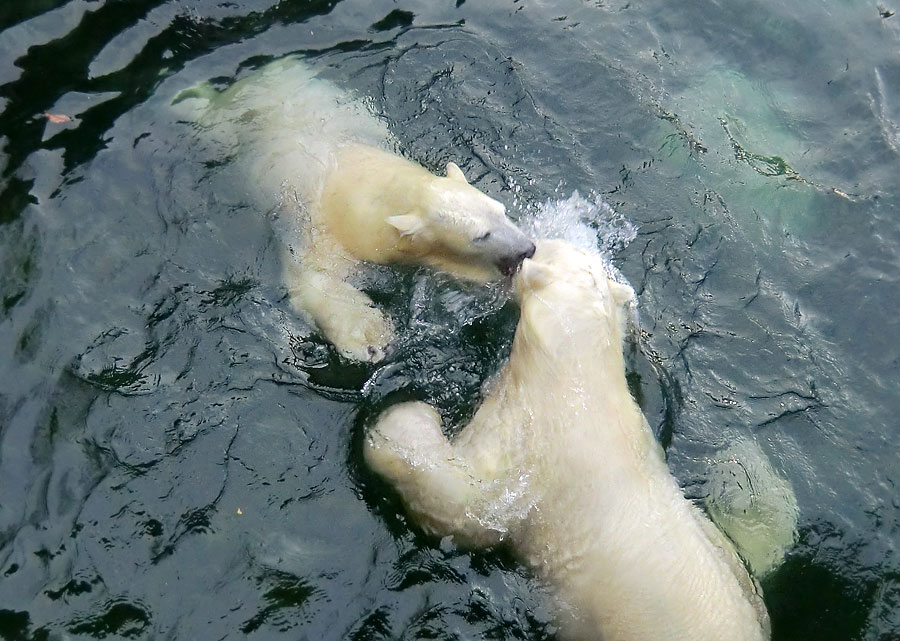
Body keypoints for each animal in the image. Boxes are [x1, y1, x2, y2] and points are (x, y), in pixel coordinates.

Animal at [174, 56, 536, 360]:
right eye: (481, 235)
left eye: (501, 211)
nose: (527, 248)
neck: (365, 185)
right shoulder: (322, 225)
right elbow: (316, 279)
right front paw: (372, 339)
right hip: (225, 129)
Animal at [362, 239, 768, 640]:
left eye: (536, 250)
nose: (524, 249)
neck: (576, 383)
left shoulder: (527, 458)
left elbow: (464, 505)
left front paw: (404, 418)